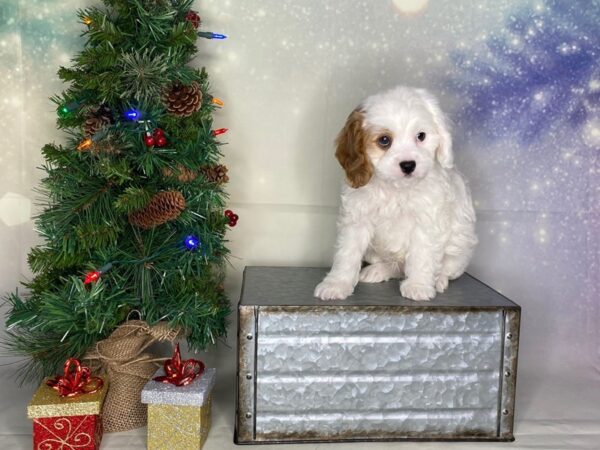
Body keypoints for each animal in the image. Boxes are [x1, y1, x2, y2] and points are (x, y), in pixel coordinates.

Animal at [314, 86, 478, 300]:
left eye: (421, 136)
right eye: (384, 140)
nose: (408, 165)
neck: (395, 188)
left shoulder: (426, 222)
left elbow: (422, 255)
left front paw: (418, 285)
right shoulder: (357, 219)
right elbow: (347, 253)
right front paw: (336, 283)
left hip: (460, 247)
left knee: (447, 268)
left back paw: (439, 280)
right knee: (395, 267)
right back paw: (378, 270)